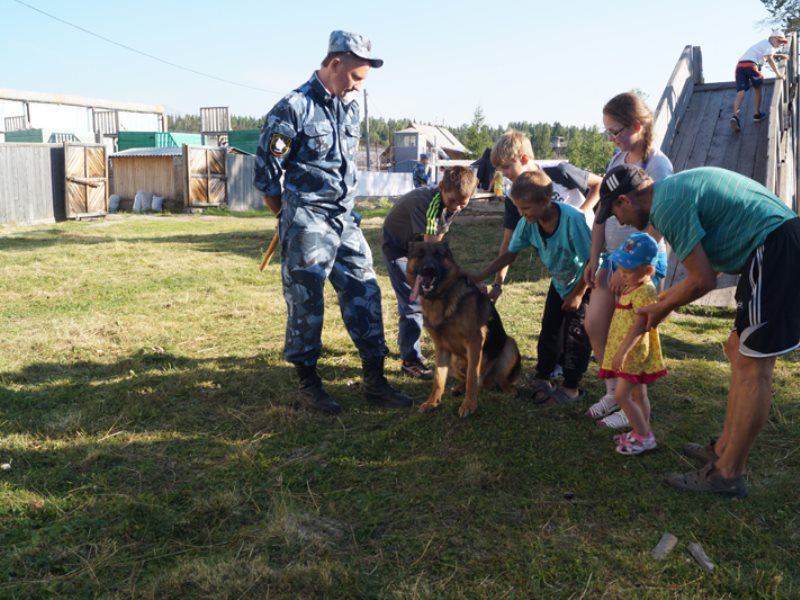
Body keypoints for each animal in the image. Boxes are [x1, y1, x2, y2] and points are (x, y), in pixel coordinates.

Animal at [410, 240, 520, 418]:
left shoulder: (475, 341)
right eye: (419, 254)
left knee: (497, 378)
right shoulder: (441, 348)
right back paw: (459, 388)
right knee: (467, 379)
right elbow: (438, 379)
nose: (428, 269)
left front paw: (469, 405)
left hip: (509, 345)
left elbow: (472, 377)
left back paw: (508, 389)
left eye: (438, 254)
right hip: (454, 361)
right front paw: (432, 402)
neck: (440, 298)